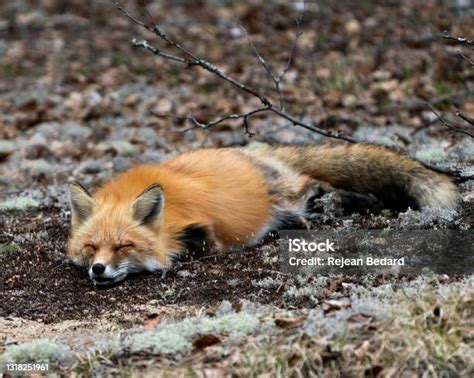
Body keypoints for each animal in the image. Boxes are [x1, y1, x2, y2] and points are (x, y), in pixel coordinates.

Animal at [67, 143, 460, 284]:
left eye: (124, 246)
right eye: (91, 247)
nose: (98, 269)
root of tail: (255, 151)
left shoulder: (204, 231)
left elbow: (198, 243)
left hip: (285, 194)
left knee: (316, 186)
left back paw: (331, 208)